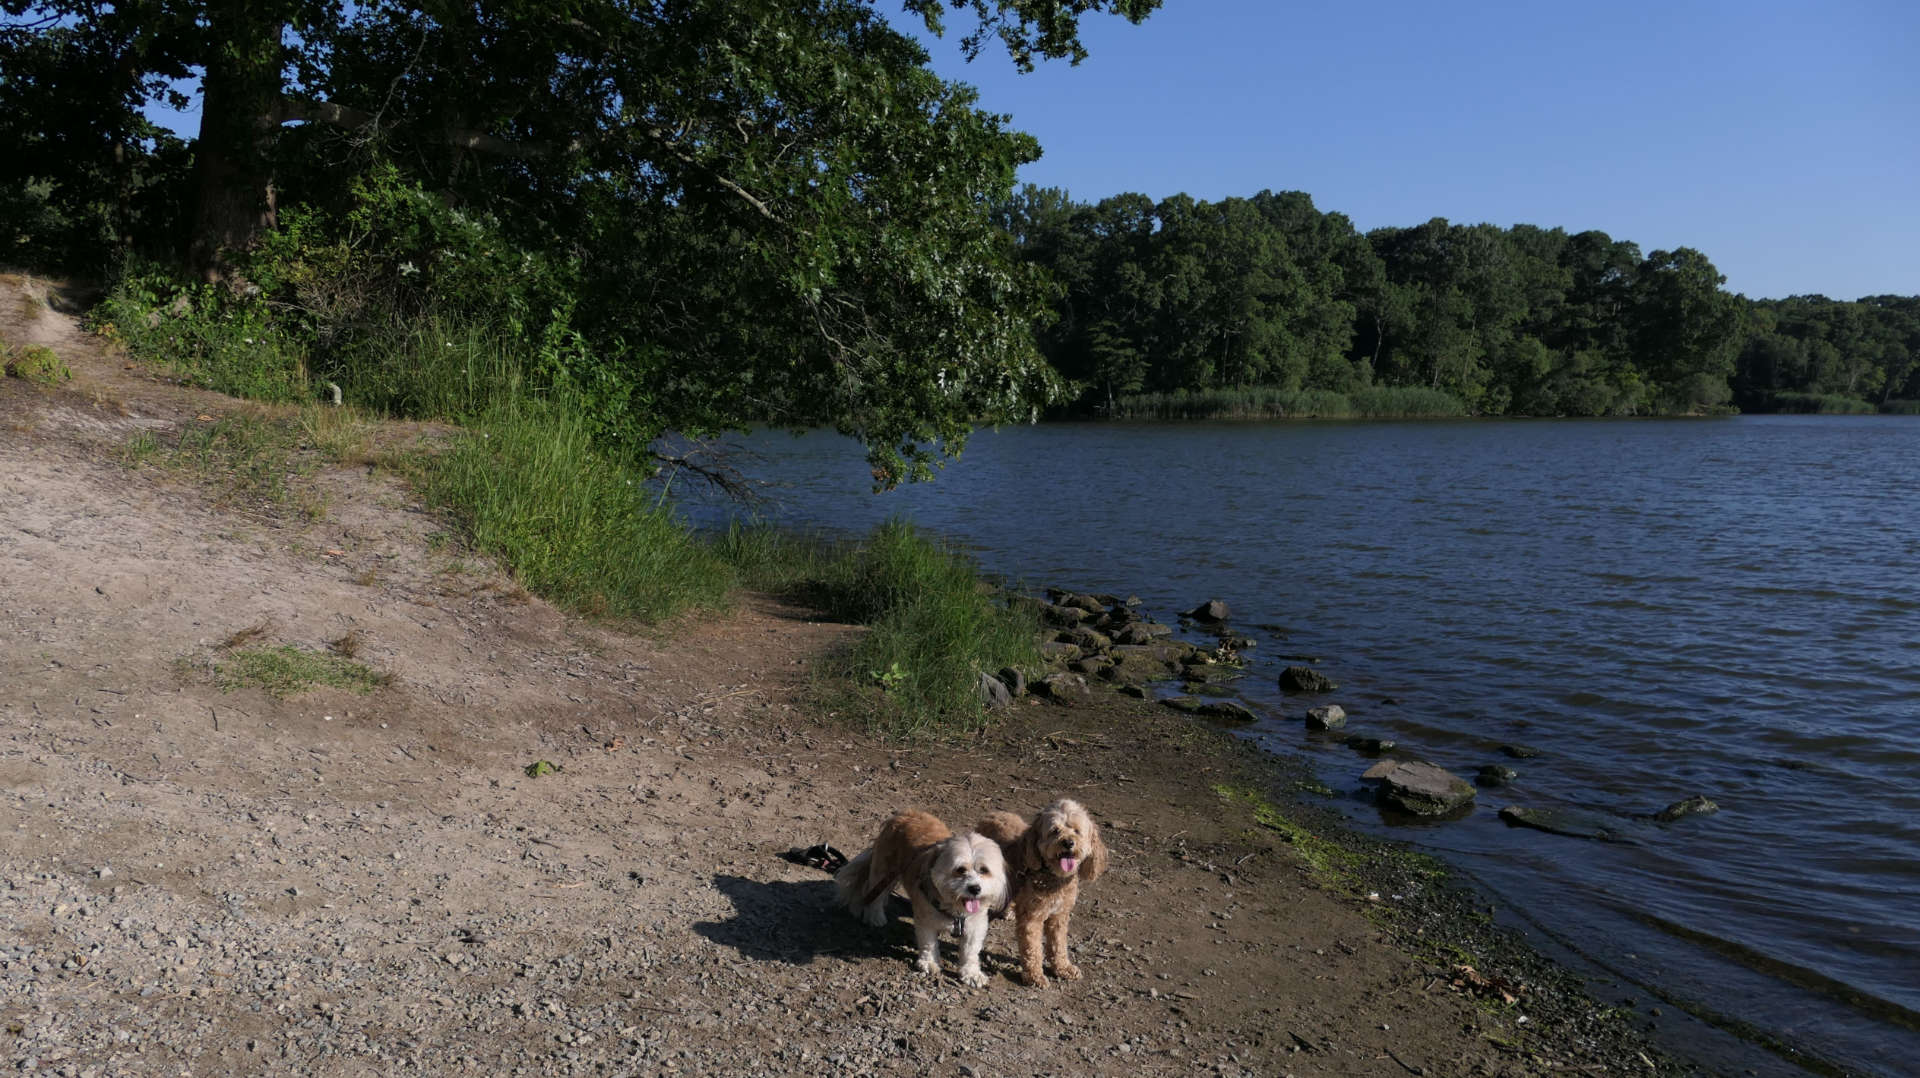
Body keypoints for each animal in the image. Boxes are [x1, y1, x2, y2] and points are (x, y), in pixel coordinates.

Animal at [844, 807, 1021, 983]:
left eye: (984, 870)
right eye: (960, 870)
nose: (975, 888)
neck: (955, 910)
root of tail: (904, 814)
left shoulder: (975, 926)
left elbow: (970, 951)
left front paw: (971, 973)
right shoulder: (926, 920)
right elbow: (929, 944)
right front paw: (929, 963)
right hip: (883, 872)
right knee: (875, 895)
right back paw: (875, 916)